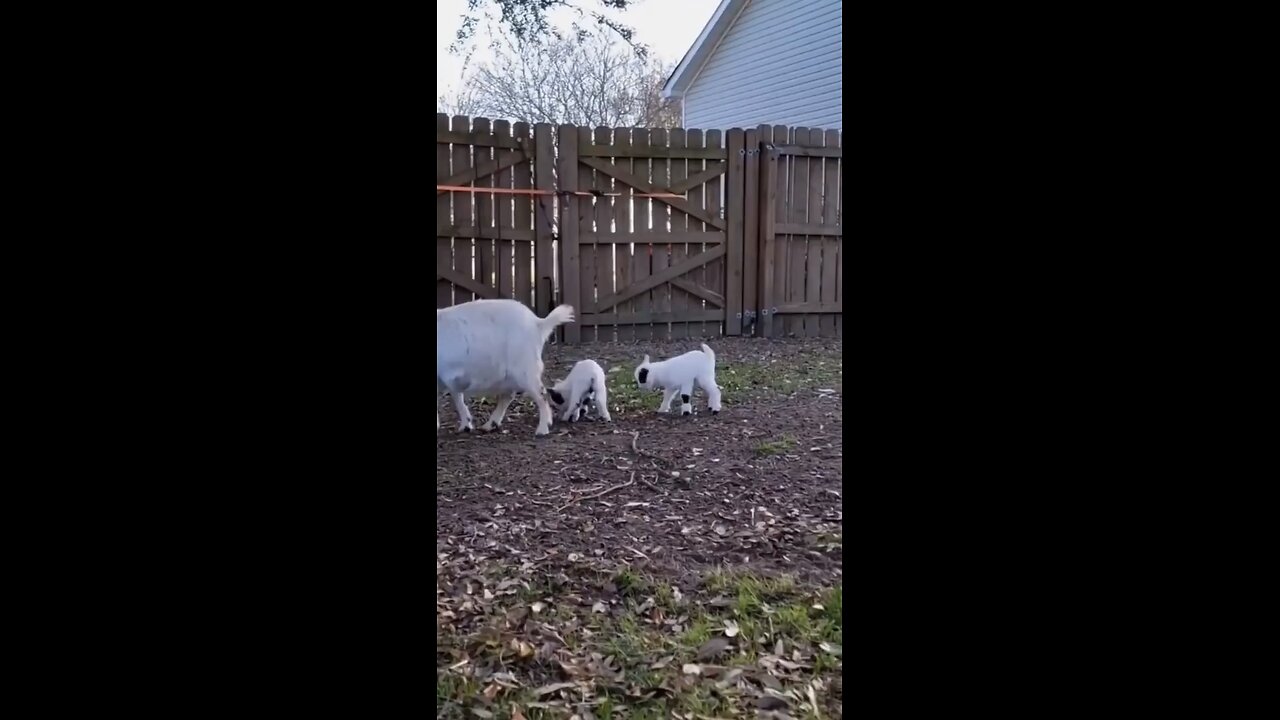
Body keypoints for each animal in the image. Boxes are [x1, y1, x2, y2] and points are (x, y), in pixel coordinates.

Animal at [435, 298, 576, 435]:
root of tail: (538, 323)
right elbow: (457, 397)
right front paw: (466, 426)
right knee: (508, 396)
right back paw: (489, 425)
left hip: (525, 368)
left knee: (541, 394)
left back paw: (542, 430)